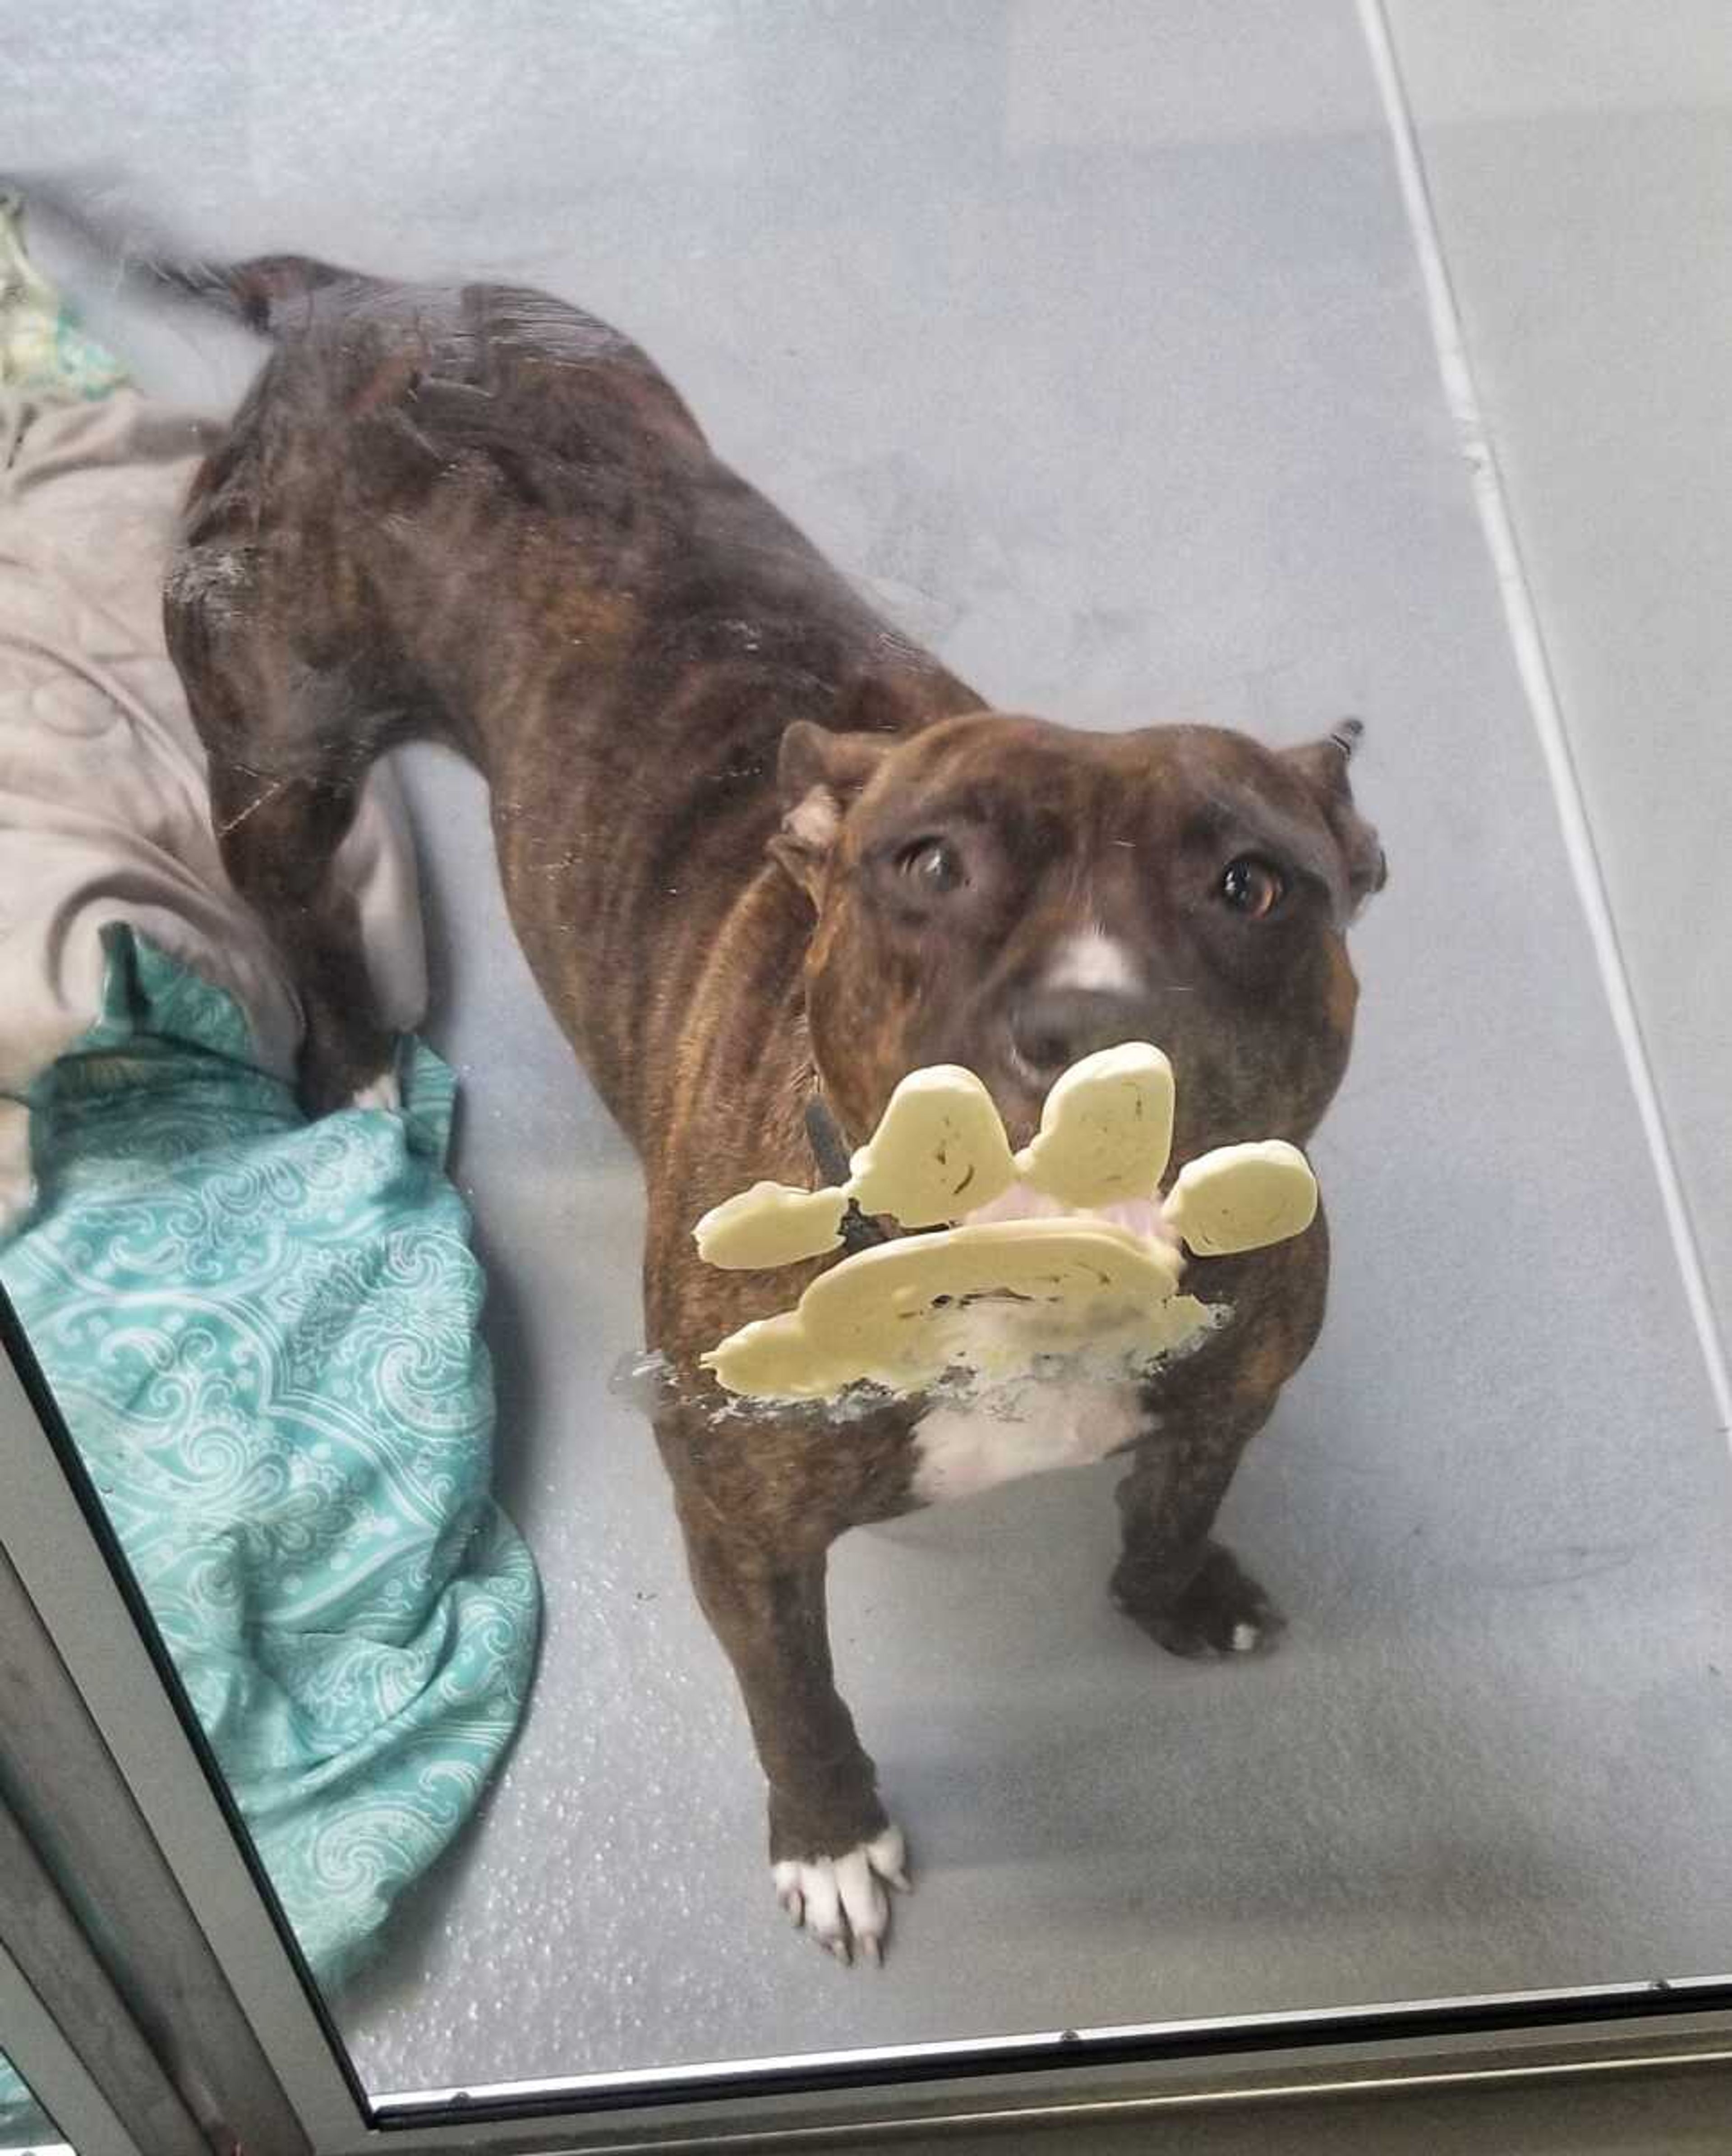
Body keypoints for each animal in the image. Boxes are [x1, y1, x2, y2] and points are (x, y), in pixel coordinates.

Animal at [159, 256, 1397, 1975]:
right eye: (928, 864)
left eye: (1253, 884)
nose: (1093, 1030)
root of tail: (354, 302)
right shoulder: (739, 1531)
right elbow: (794, 1697)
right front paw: (830, 1840)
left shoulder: (1233, 1387)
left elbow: (1175, 1497)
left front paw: (1176, 1594)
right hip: (279, 760)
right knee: (302, 904)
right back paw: (353, 1072)